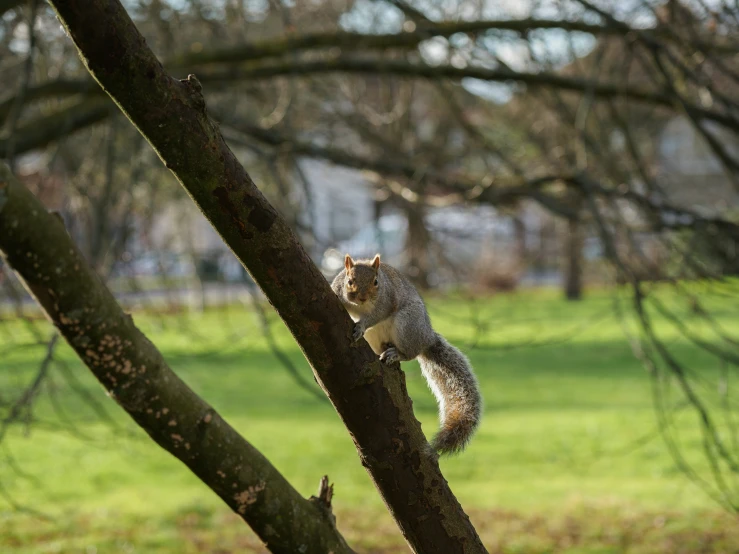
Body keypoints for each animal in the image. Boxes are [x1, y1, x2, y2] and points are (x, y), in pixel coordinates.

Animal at [332, 252, 482, 450]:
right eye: (349, 281)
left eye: (376, 282)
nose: (362, 298)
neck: (360, 307)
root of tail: (426, 338)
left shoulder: (386, 301)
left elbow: (376, 315)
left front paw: (361, 326)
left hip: (407, 324)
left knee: (410, 354)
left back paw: (395, 354)